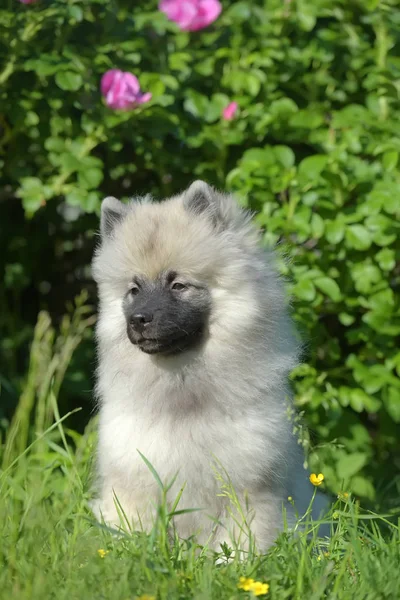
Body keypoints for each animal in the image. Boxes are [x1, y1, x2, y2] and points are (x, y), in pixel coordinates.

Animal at [91, 180, 328, 552]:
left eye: (178, 285)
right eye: (134, 289)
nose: (139, 319)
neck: (182, 388)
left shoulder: (248, 490)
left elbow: (241, 545)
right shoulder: (134, 484)